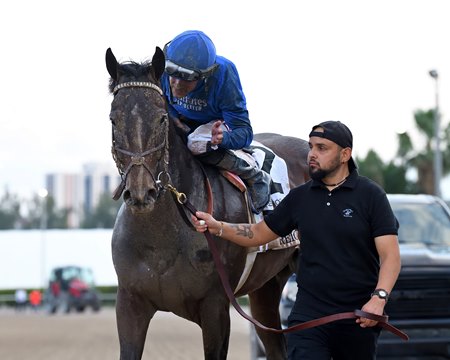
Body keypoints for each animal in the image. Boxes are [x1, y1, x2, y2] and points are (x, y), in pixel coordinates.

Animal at [105, 47, 310, 360]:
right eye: (113, 119)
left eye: (161, 118)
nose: (141, 193)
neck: (162, 239)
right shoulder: (130, 304)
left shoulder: (216, 307)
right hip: (266, 288)